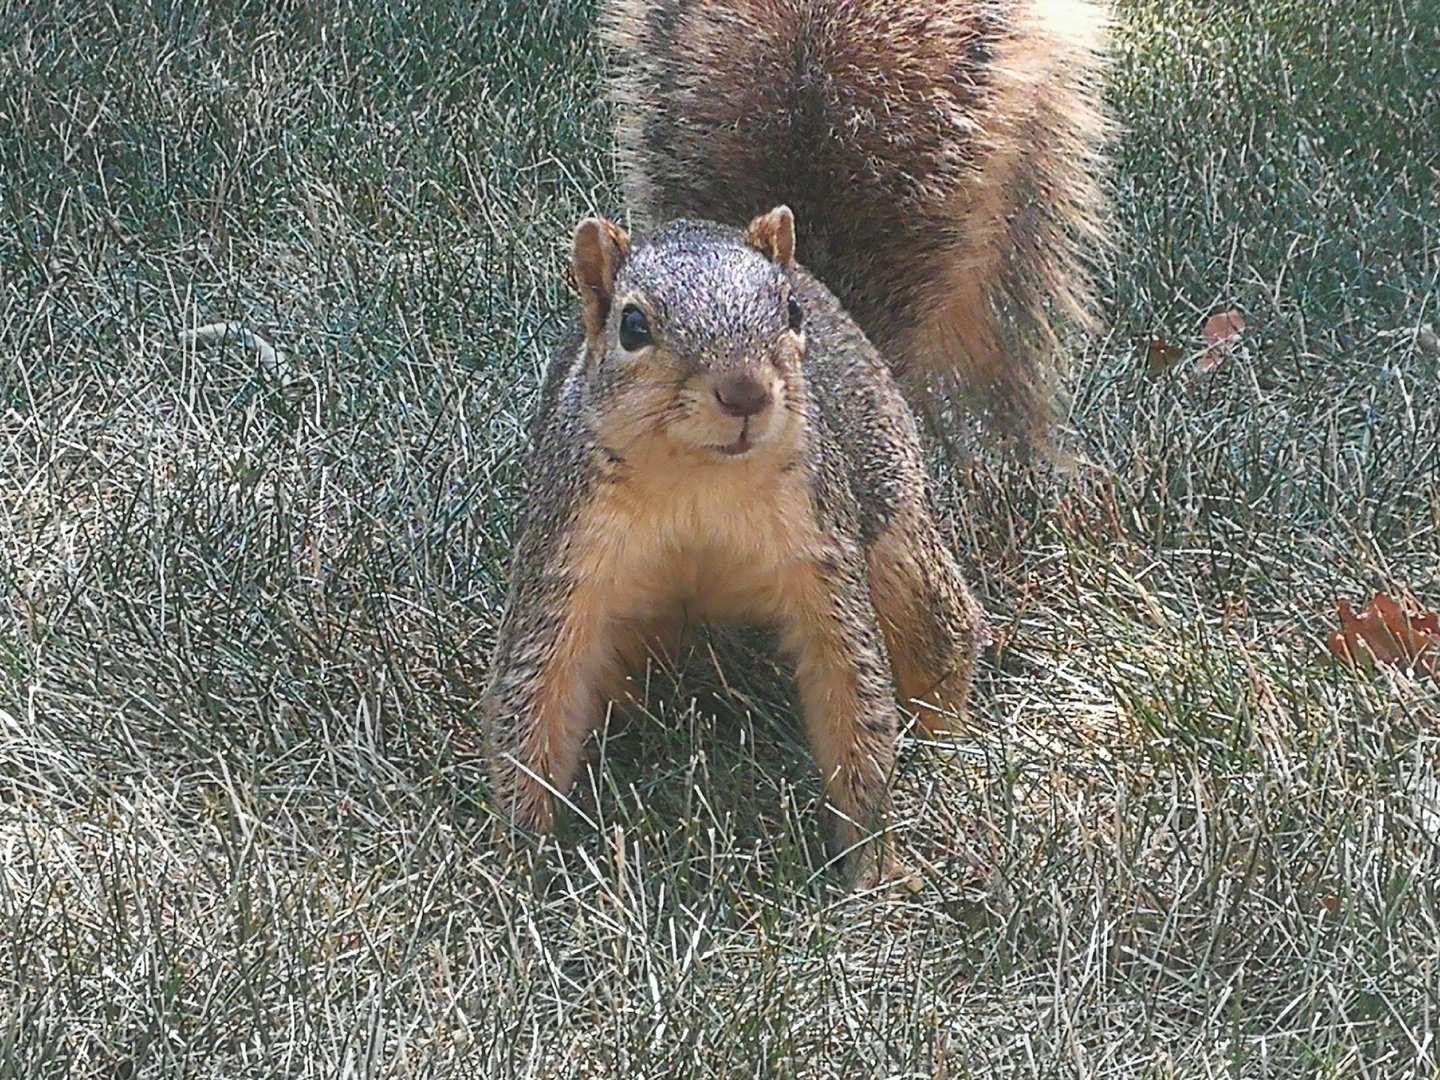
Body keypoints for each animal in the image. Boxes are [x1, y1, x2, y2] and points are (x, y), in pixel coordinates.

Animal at [482, 0, 1111, 887]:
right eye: (633, 327)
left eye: (787, 315)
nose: (745, 393)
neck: (699, 481)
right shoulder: (569, 559)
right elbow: (536, 694)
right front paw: (517, 863)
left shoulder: (822, 554)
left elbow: (855, 696)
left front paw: (874, 868)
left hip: (892, 531)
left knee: (941, 635)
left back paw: (952, 744)